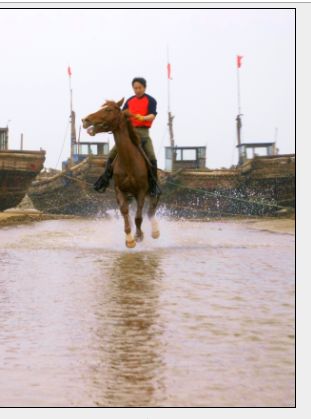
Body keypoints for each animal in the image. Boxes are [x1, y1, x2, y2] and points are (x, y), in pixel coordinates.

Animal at [82, 99, 161, 249]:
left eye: (108, 110)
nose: (85, 119)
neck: (129, 161)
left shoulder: (141, 191)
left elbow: (138, 217)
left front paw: (139, 236)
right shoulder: (120, 190)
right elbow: (125, 213)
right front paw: (130, 239)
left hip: (152, 192)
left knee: (151, 210)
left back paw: (155, 231)